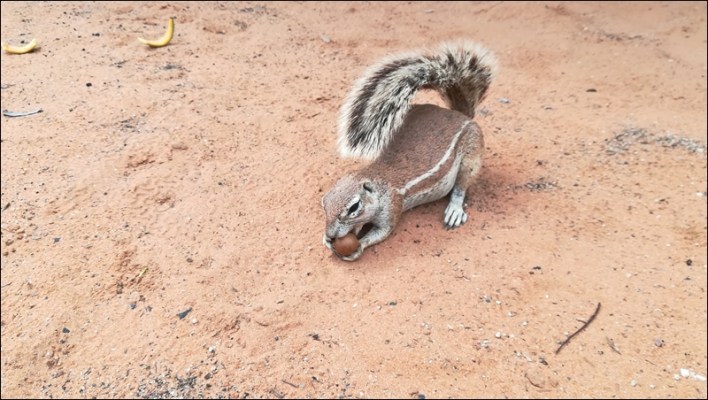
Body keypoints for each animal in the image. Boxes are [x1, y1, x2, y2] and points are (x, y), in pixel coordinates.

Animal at [321, 40, 497, 261]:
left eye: (354, 207)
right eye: (324, 203)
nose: (330, 235)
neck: (375, 180)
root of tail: (459, 114)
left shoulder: (392, 207)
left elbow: (382, 232)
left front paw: (359, 245)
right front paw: (327, 241)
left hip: (471, 156)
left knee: (461, 187)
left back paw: (454, 210)